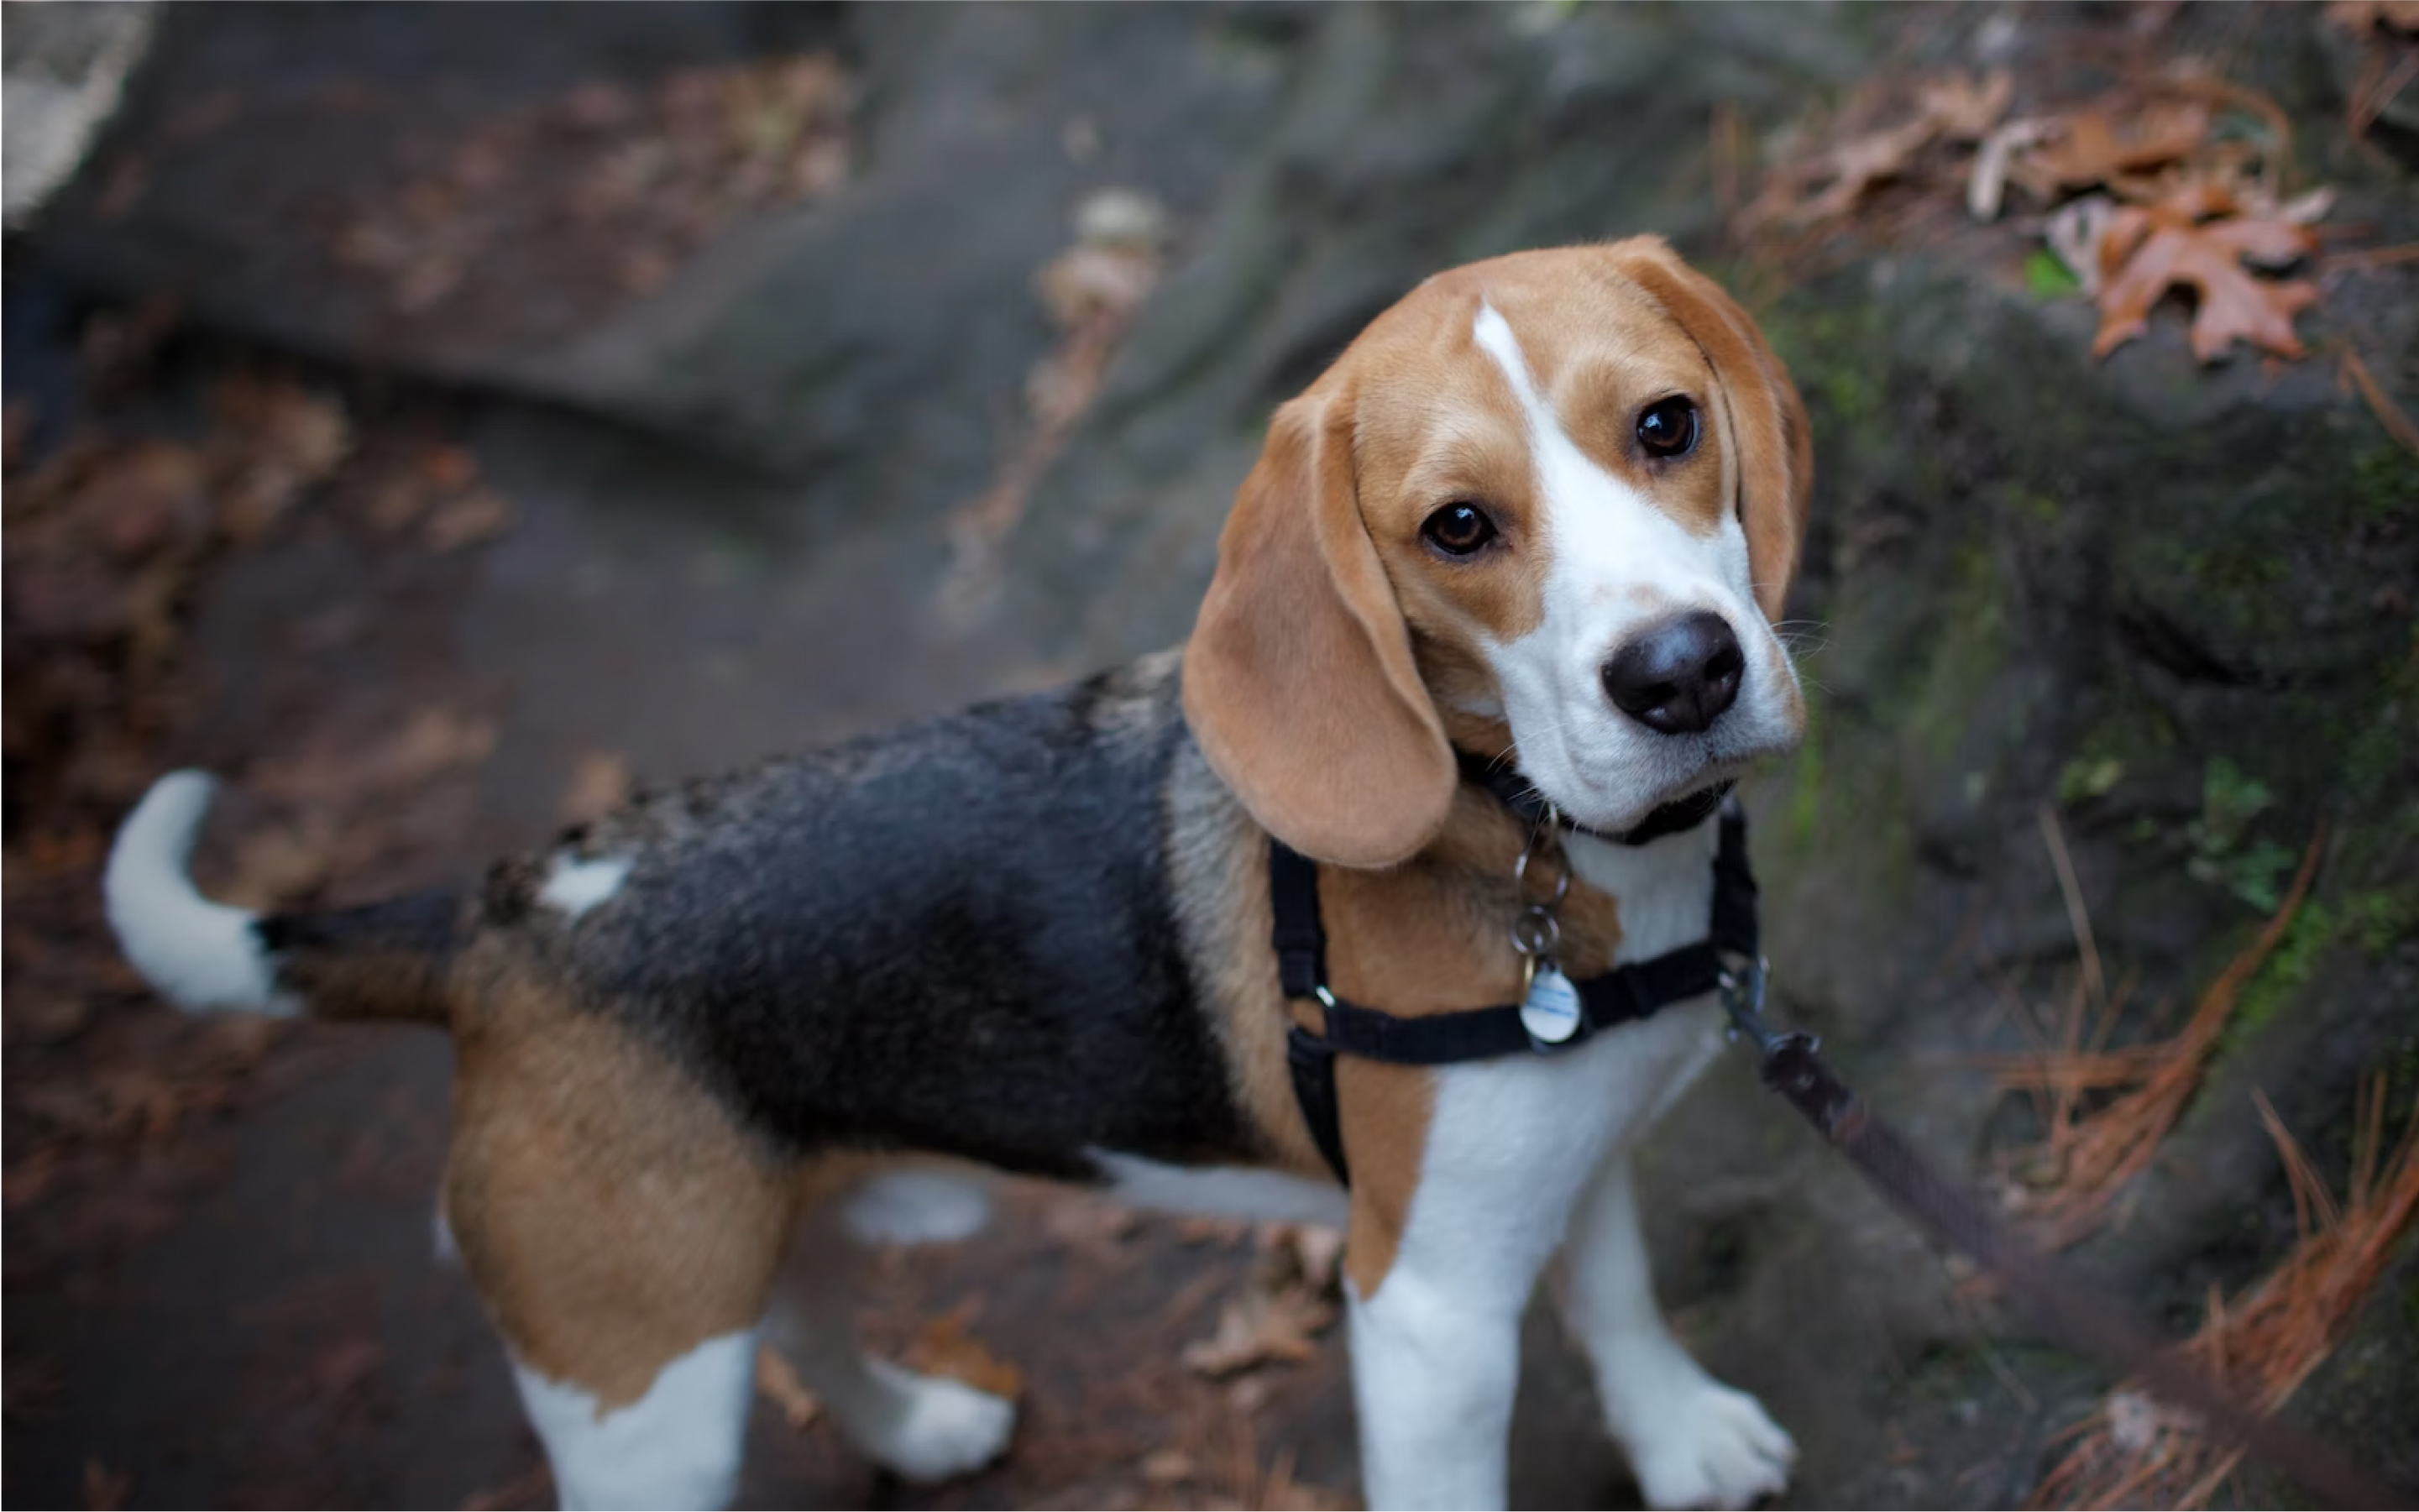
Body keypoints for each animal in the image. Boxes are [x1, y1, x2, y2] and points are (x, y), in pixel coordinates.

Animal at [113, 238, 1819, 1509]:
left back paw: (916, 1425)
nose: (1681, 675)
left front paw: (1679, 1436)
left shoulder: (1569, 1155)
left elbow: (1617, 1294)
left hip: (741, 1235)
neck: (1531, 832)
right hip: (634, 1380)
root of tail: (501, 912)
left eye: (1667, 426)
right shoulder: (1428, 1310)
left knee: (802, 1311)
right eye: (1457, 528)